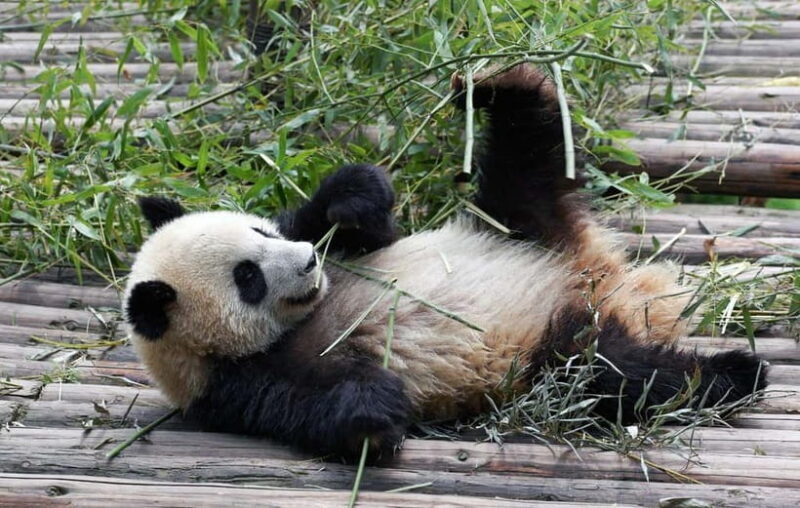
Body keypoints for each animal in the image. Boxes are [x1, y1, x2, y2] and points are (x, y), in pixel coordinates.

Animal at [124, 64, 768, 459]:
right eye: (248, 279)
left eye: (259, 233)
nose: (306, 264)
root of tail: (606, 280)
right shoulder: (235, 386)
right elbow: (316, 407)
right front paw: (376, 412)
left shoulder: (332, 245)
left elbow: (359, 222)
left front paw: (350, 203)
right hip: (549, 350)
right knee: (614, 371)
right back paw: (734, 373)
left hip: (520, 225)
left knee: (528, 156)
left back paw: (498, 86)